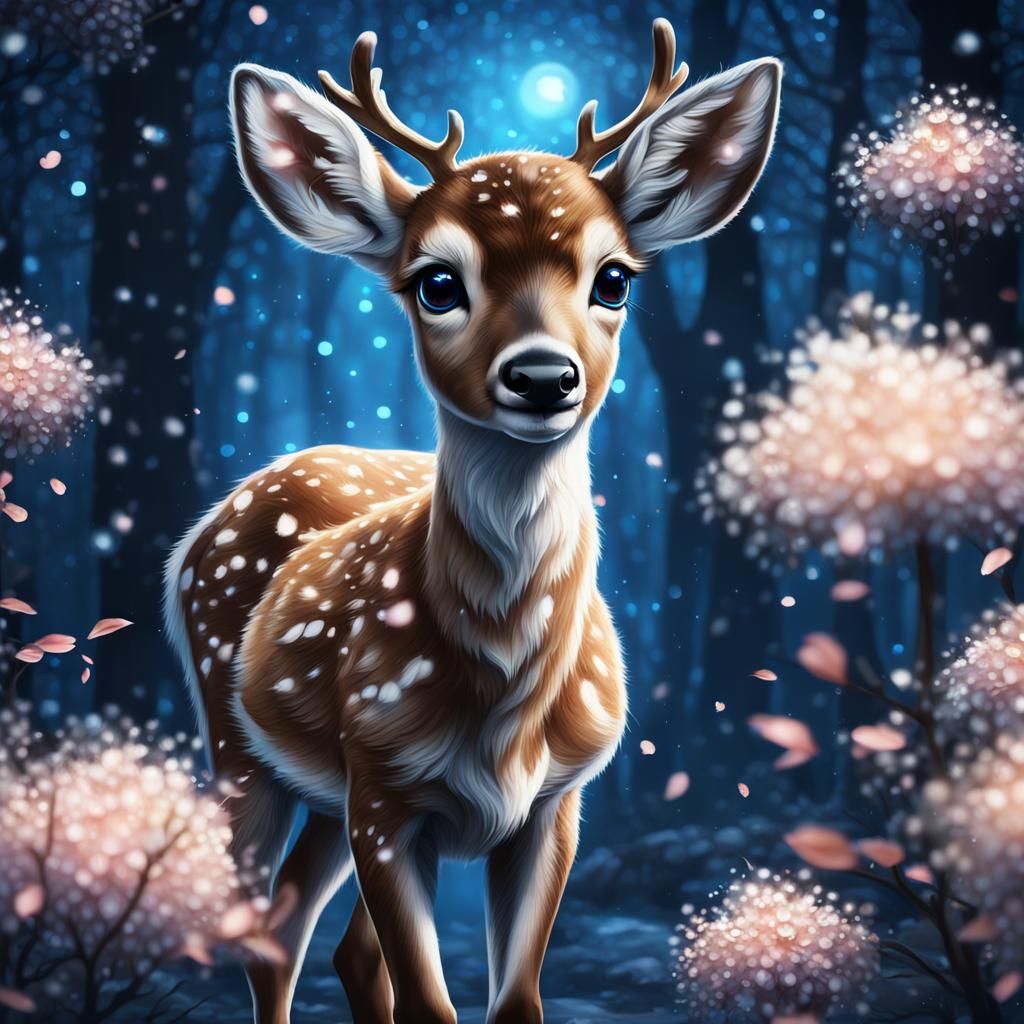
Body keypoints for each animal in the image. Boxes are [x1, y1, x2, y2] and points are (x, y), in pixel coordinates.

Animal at [164, 19, 780, 1024]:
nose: (542, 376)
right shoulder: (385, 794)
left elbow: (514, 1000)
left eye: (614, 278)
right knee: (259, 930)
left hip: (331, 794)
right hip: (239, 744)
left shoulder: (557, 803)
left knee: (322, 939)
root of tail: (201, 530)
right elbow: (430, 1003)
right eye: (436, 282)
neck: (504, 697)